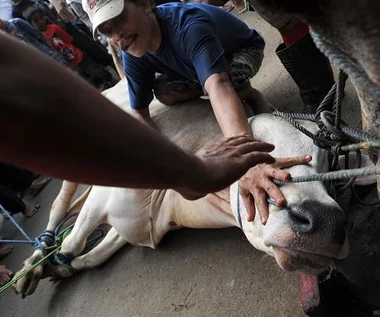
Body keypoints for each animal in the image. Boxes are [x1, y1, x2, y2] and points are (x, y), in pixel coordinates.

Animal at [14, 79, 348, 296]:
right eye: (260, 151)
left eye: (327, 164)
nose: (325, 222)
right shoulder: (103, 196)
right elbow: (72, 244)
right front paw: (43, 266)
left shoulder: (141, 224)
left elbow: (93, 255)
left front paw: (61, 268)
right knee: (60, 208)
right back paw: (31, 263)